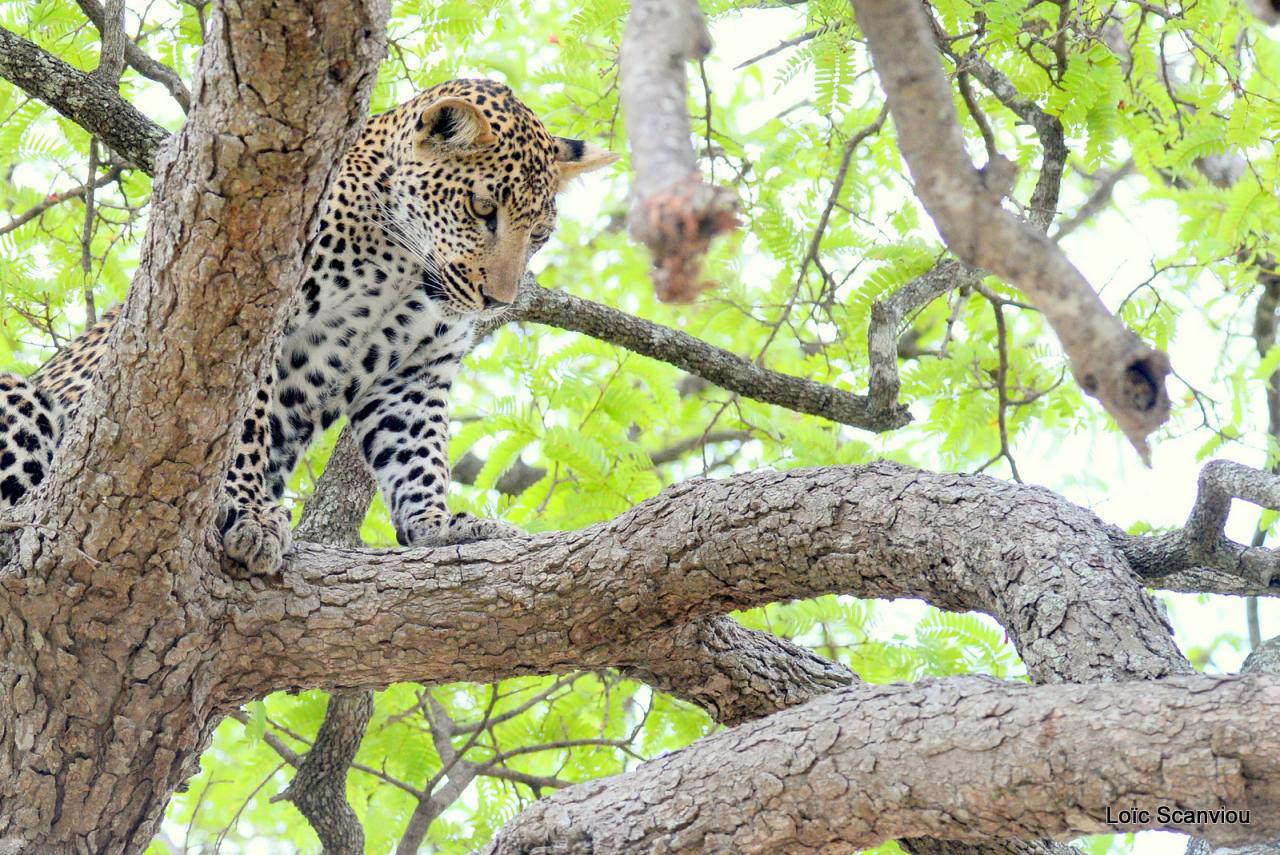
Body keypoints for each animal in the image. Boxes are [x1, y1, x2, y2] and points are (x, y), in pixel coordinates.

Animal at [0, 79, 614, 573]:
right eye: (482, 209)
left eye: (539, 236)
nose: (495, 301)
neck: (404, 266)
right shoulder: (251, 319)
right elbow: (244, 427)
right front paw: (247, 512)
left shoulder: (415, 375)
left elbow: (418, 453)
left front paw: (438, 526)